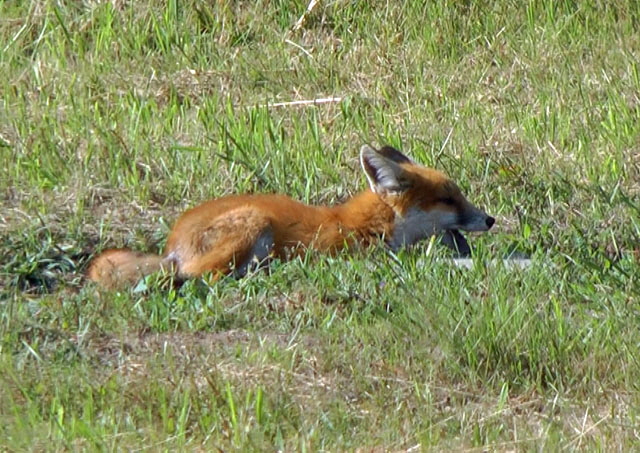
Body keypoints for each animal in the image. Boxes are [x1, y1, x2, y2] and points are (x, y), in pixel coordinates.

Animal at [88, 145, 495, 289]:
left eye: (459, 195)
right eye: (448, 199)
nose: (490, 220)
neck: (373, 224)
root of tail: (171, 248)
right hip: (252, 224)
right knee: (199, 276)